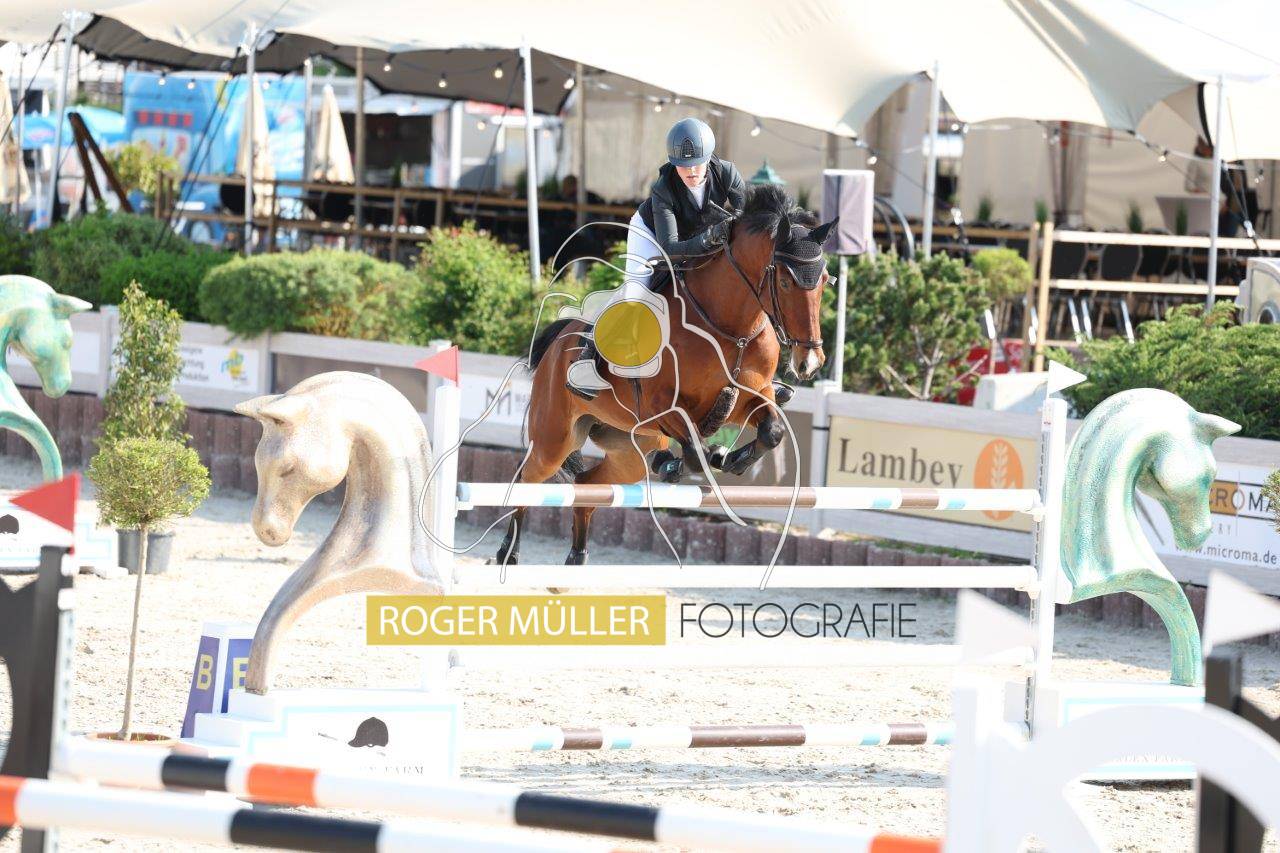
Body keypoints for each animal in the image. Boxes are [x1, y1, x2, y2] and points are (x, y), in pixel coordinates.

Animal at [497, 184, 836, 567]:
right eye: (785, 281)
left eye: (824, 280)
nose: (810, 361)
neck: (730, 327)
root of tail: (557, 343)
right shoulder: (662, 405)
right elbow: (694, 449)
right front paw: (710, 457)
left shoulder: (747, 399)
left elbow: (772, 431)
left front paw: (733, 459)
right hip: (554, 438)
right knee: (527, 477)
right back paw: (507, 553)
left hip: (627, 448)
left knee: (586, 484)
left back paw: (576, 559)